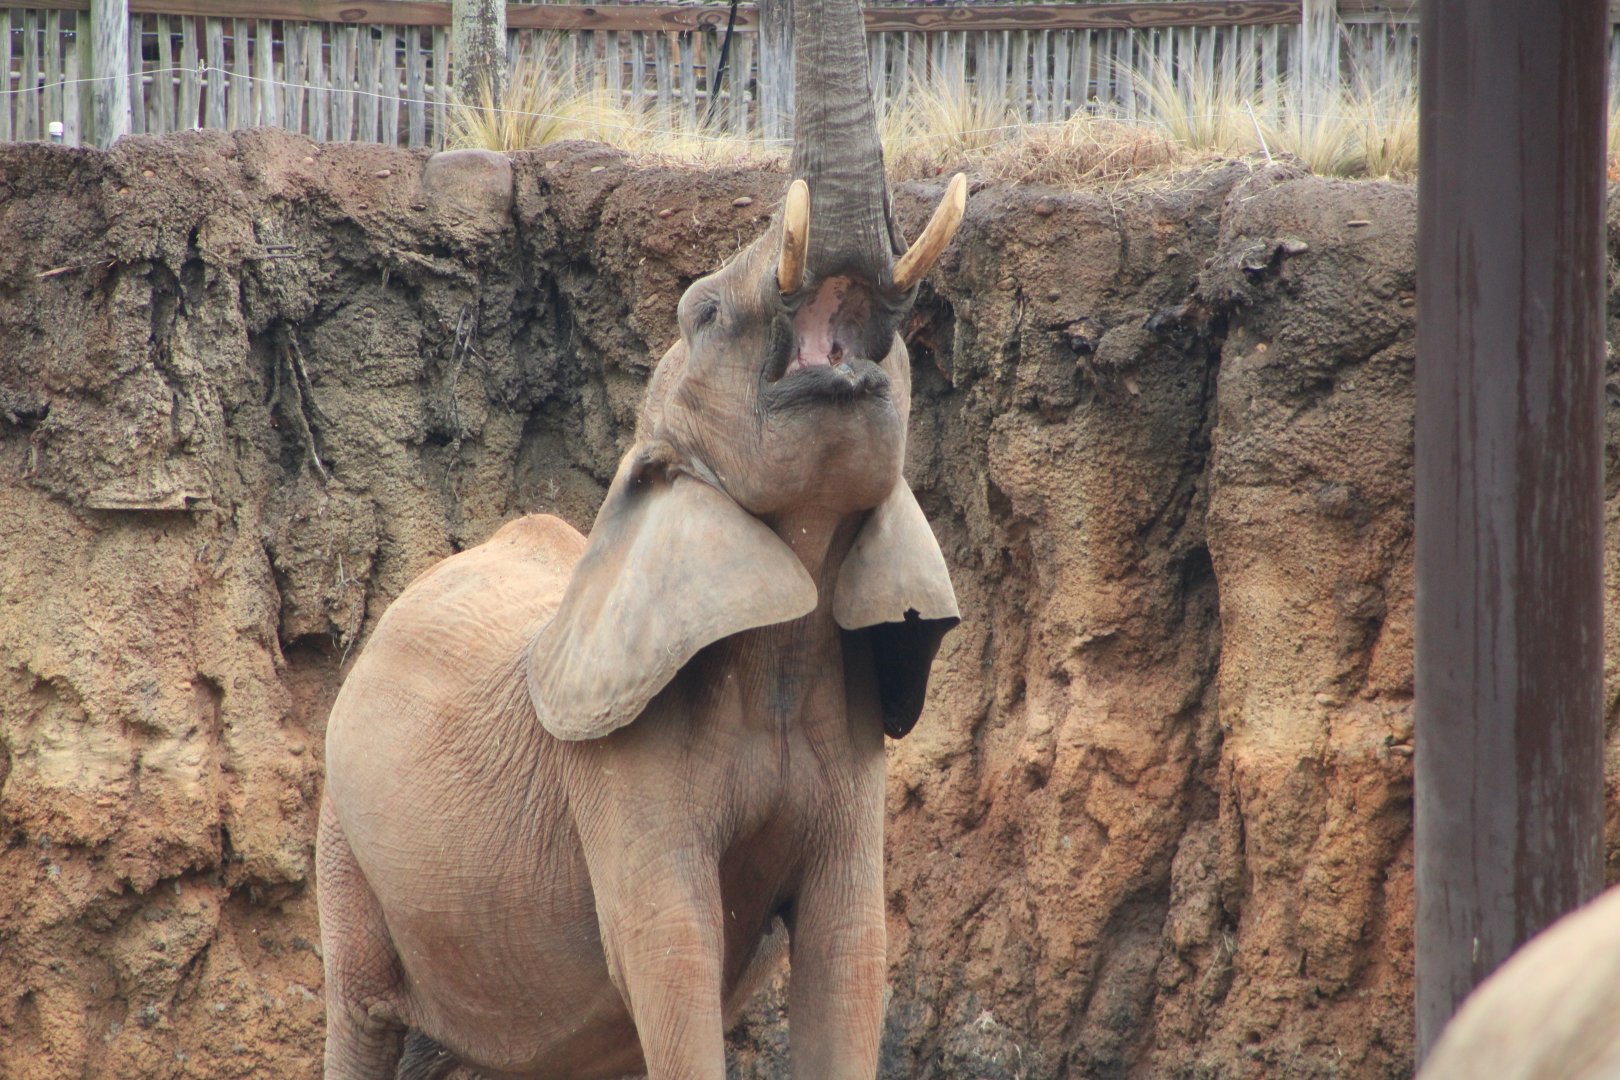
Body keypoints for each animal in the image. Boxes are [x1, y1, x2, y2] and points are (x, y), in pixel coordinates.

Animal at [314, 0, 967, 1074]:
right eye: (704, 312)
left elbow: (850, 954)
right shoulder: (620, 767)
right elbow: (670, 956)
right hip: (345, 836)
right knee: (361, 1009)